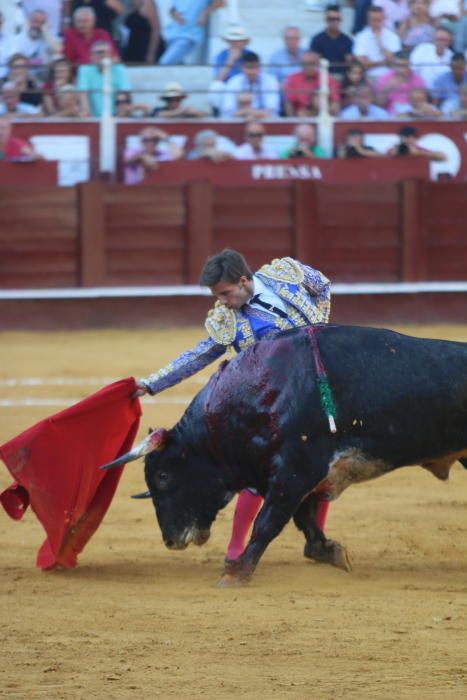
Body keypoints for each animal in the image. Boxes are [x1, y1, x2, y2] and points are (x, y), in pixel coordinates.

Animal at [101, 326, 467, 584]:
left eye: (163, 476)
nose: (170, 540)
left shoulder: (296, 470)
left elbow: (268, 522)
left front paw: (236, 573)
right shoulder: (296, 476)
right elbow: (305, 521)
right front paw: (332, 552)